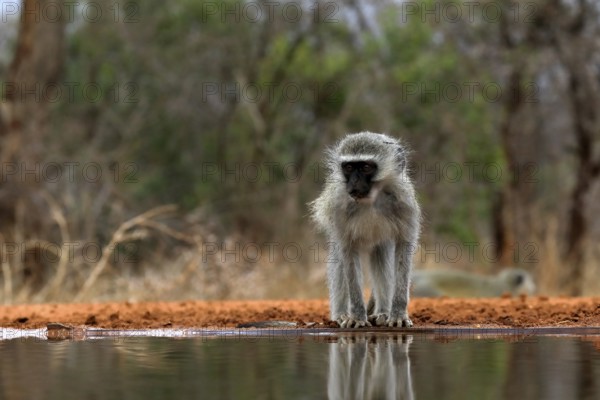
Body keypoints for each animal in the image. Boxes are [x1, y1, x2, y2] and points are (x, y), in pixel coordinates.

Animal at [312, 133, 420, 326]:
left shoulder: (404, 203)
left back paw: (383, 312)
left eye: (366, 167)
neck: (371, 199)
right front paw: (356, 316)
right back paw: (341, 314)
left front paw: (398, 313)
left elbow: (404, 248)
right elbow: (347, 253)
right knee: (339, 259)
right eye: (348, 167)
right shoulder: (339, 207)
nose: (353, 183)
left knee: (381, 255)